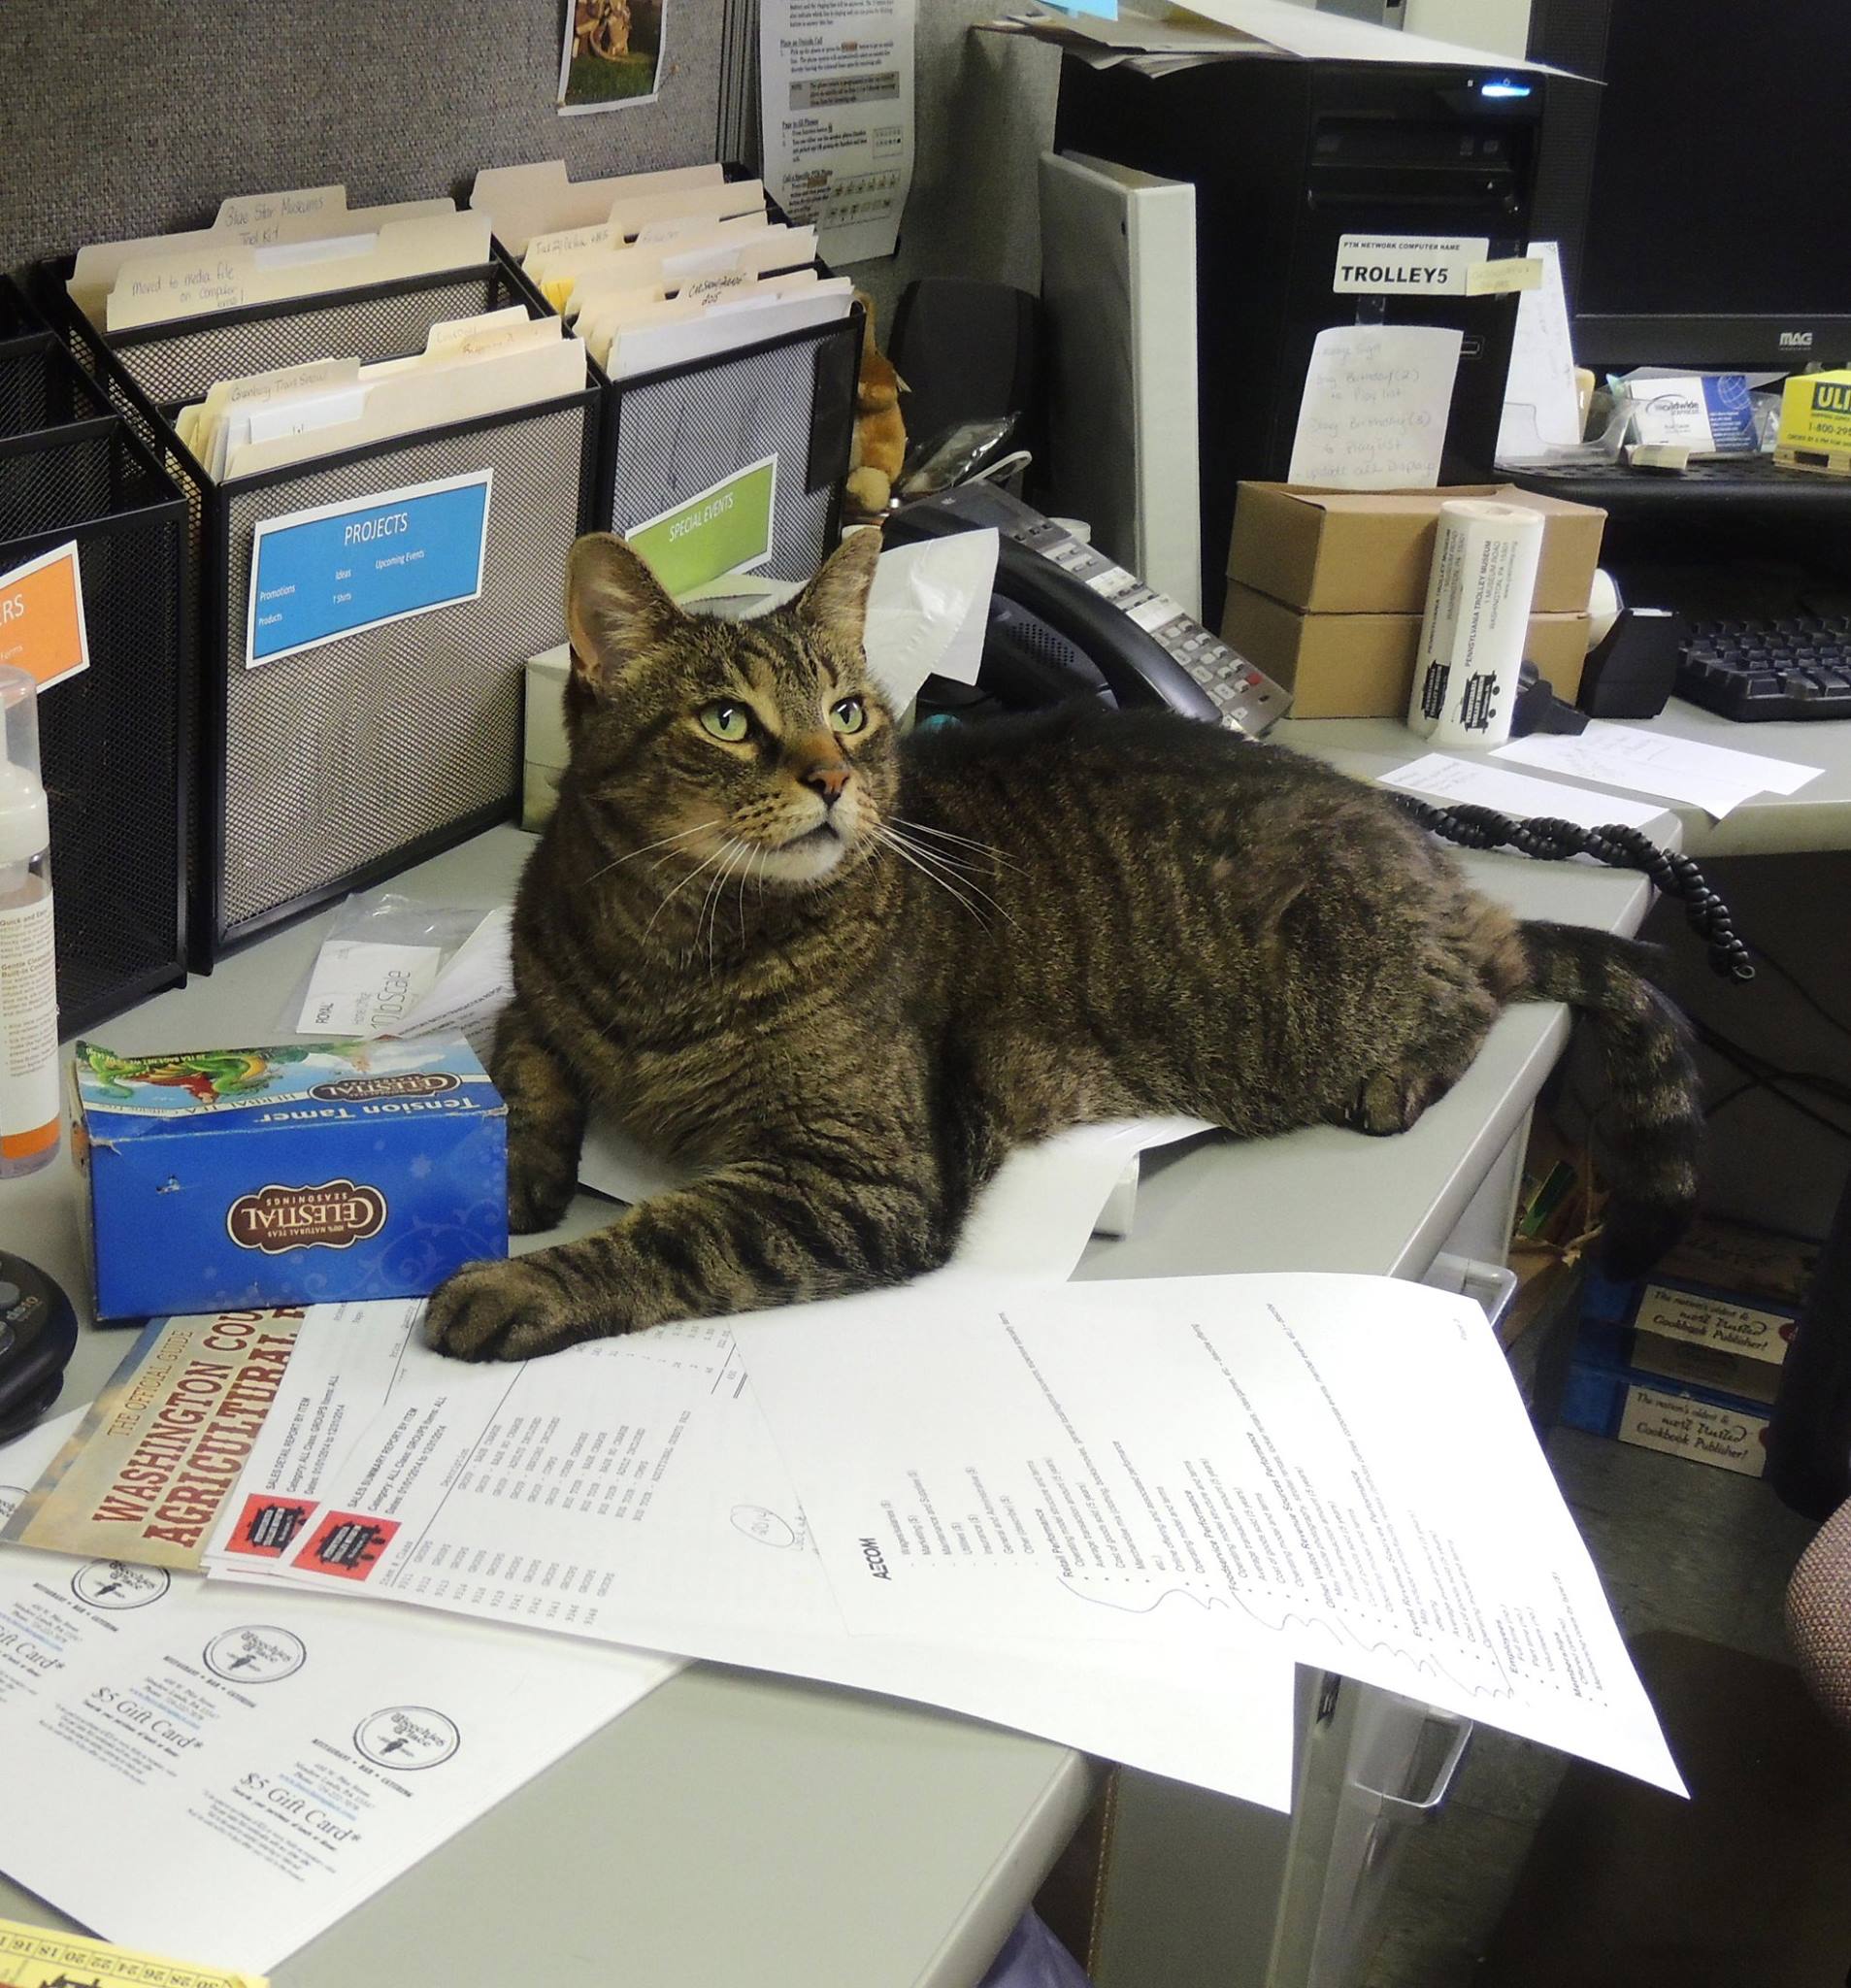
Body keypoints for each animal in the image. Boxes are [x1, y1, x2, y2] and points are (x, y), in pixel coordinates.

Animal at [427, 528, 1702, 1368]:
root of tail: (1423, 846)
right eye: (726, 720)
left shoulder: (863, 1175)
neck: (669, 942)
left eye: (847, 712)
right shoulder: (528, 990)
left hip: (1353, 992)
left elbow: (670, 1236)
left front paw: (512, 1281)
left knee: (1477, 990)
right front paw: (509, 1169)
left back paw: (1401, 1072)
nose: (833, 778)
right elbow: (519, 1059)